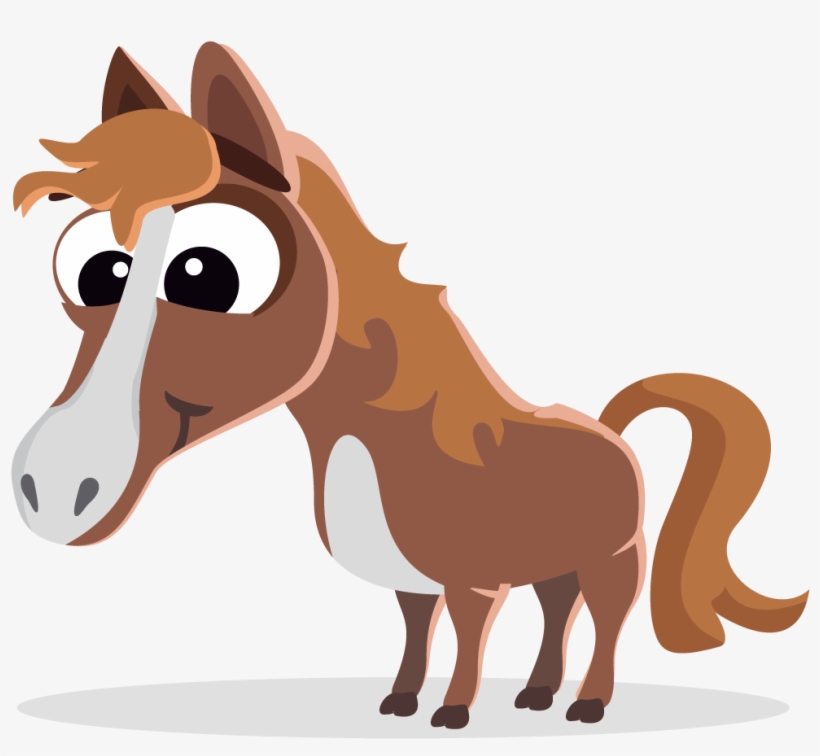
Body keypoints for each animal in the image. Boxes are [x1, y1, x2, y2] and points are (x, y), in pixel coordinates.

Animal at [11, 43, 808, 730]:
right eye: (97, 271)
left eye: (207, 274)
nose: (52, 489)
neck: (395, 437)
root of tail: (609, 430)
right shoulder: (412, 581)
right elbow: (416, 633)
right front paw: (400, 702)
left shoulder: (473, 583)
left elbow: (466, 635)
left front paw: (452, 712)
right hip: (555, 565)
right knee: (557, 610)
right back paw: (538, 694)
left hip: (613, 560)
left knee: (606, 619)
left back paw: (588, 704)